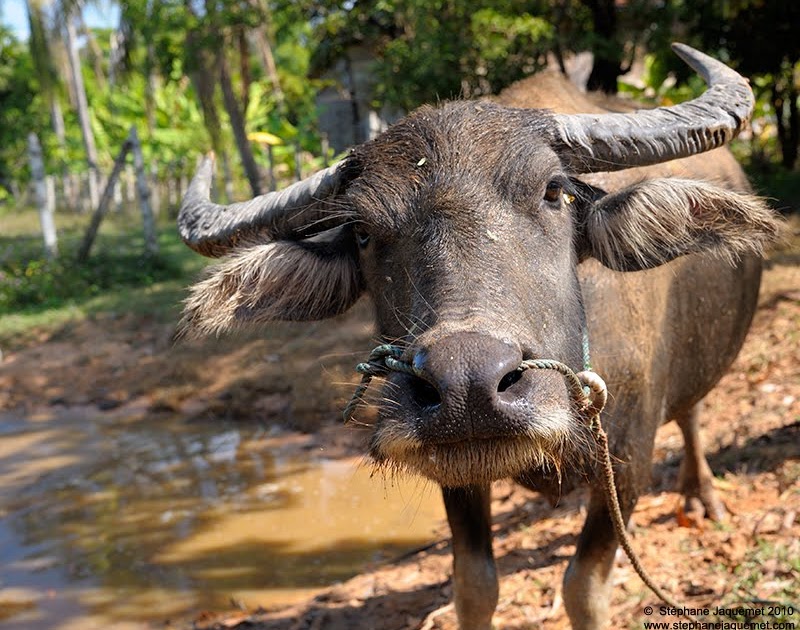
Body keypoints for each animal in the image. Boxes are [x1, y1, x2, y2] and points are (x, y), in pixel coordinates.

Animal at [177, 44, 781, 629]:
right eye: (364, 232)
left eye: (554, 193)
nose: (468, 384)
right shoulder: (457, 471)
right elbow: (474, 586)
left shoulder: (629, 458)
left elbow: (583, 588)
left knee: (693, 410)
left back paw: (701, 496)